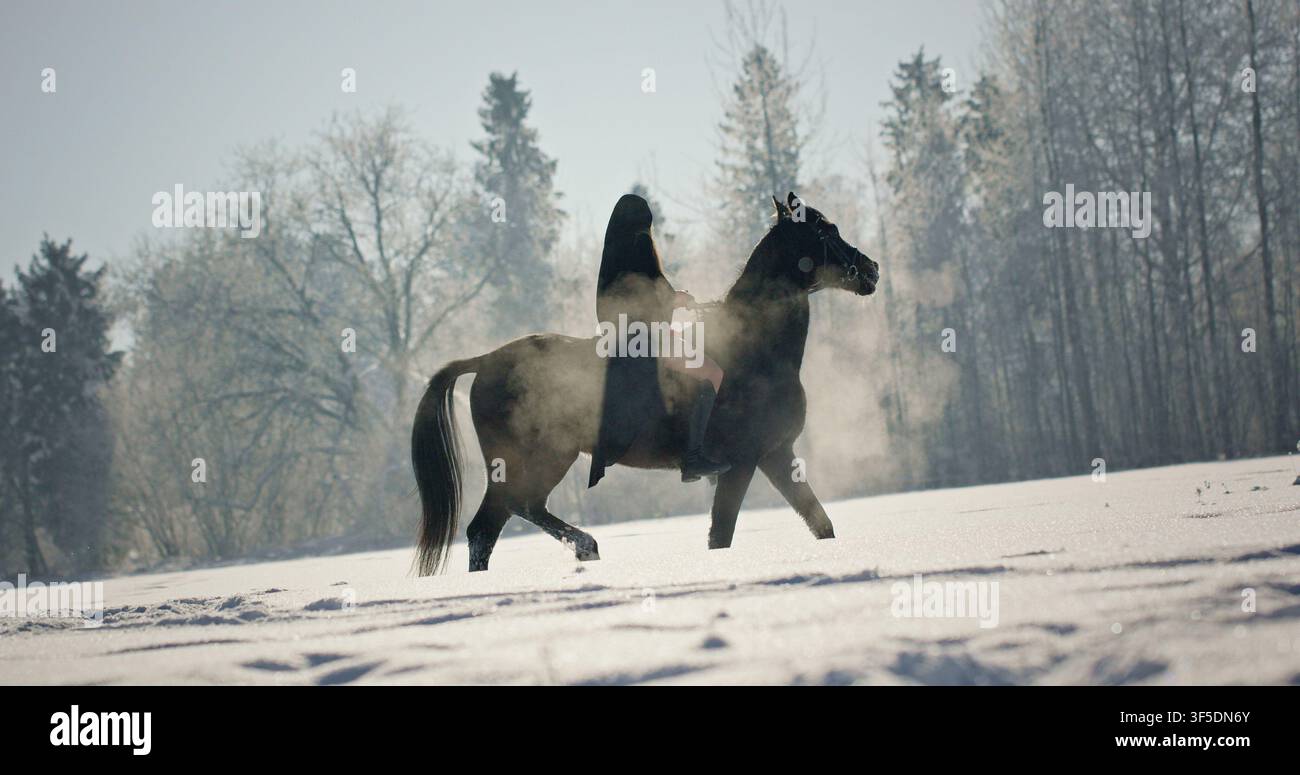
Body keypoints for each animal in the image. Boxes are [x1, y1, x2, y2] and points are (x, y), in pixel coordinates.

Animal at [412, 192, 880, 574]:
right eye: (825, 229)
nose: (872, 269)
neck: (756, 349)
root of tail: (487, 361)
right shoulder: (743, 462)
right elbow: (721, 536)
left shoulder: (776, 455)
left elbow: (820, 524)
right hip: (534, 460)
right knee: (497, 520)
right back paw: (582, 547)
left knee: (499, 522)